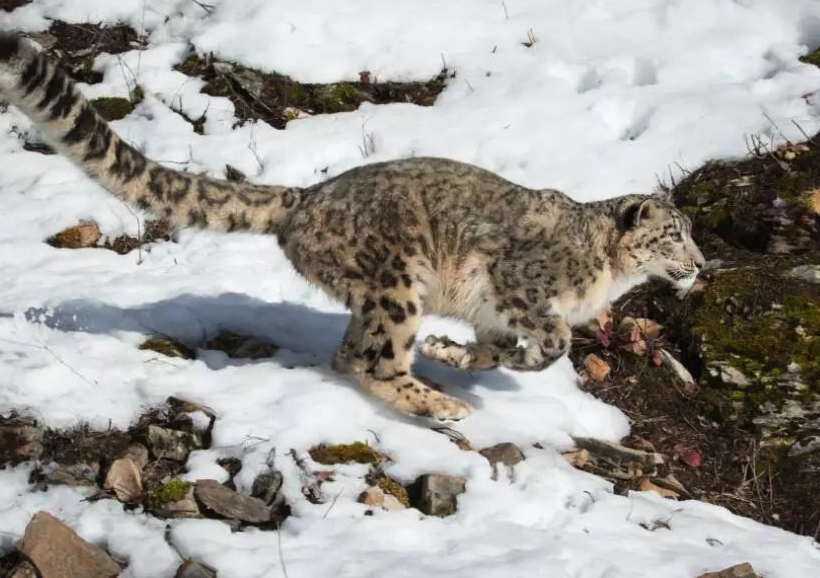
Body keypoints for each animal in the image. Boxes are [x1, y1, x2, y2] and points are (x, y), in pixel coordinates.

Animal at [0, 35, 704, 418]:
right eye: (674, 234)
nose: (701, 265)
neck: (606, 277)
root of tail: (308, 197)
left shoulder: (495, 314)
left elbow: (496, 346)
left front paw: (455, 352)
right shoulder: (521, 285)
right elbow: (554, 339)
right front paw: (491, 360)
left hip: (374, 294)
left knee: (351, 355)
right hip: (398, 280)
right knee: (378, 363)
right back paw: (439, 404)